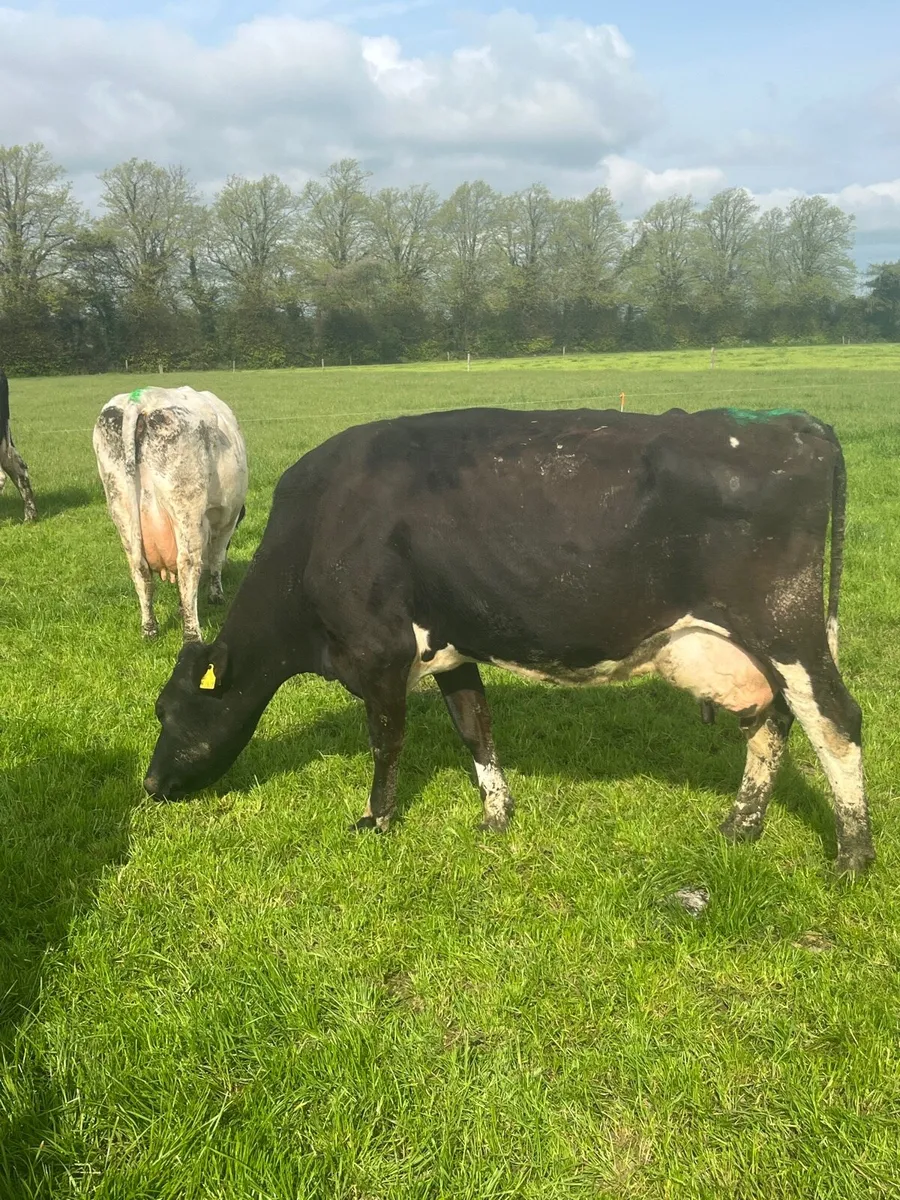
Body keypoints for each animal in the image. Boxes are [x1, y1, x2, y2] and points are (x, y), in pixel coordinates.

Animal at [93, 385, 248, 643]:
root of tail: (144, 397)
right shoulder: (228, 519)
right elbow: (216, 559)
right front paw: (216, 596)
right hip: (185, 505)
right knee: (187, 565)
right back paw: (192, 635)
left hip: (120, 503)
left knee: (139, 568)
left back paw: (149, 629)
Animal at [143, 405, 875, 876]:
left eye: (172, 711)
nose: (149, 784)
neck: (318, 530)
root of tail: (788, 423)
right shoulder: (449, 646)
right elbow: (474, 725)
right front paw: (496, 812)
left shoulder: (379, 653)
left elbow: (386, 741)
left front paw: (377, 819)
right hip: (750, 649)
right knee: (774, 720)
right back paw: (741, 826)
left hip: (787, 628)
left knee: (835, 720)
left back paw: (852, 856)